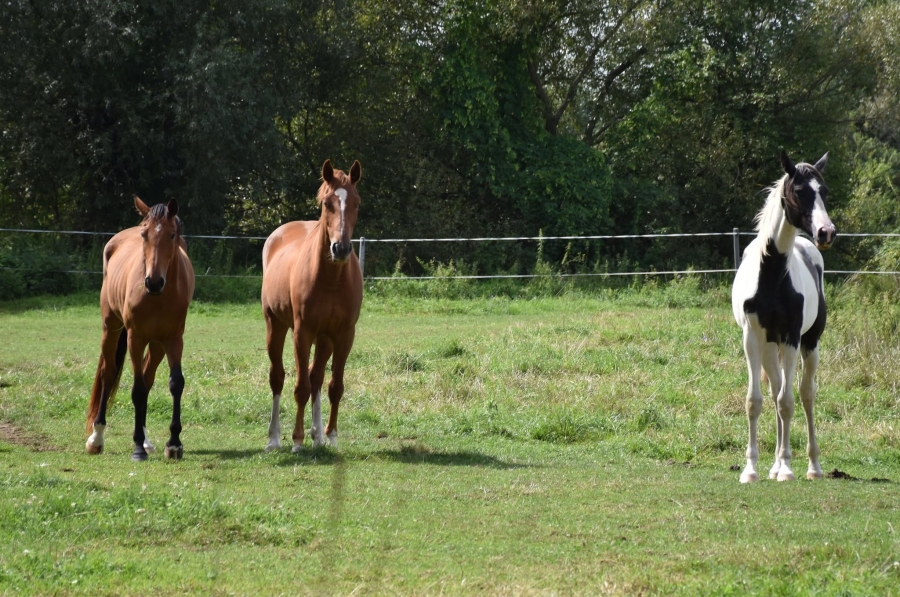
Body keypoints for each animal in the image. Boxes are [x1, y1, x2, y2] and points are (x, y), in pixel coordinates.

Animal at [85, 196, 195, 461]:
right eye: (144, 235)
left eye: (172, 235)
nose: (153, 282)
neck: (158, 297)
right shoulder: (135, 338)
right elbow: (136, 389)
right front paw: (136, 448)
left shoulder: (173, 340)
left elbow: (175, 383)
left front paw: (174, 444)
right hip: (111, 329)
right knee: (108, 373)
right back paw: (97, 438)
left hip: (156, 345)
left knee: (147, 378)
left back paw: (145, 440)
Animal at [261, 160, 363, 452]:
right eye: (327, 203)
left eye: (356, 203)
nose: (340, 248)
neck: (331, 280)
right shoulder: (302, 332)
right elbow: (301, 388)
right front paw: (296, 439)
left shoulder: (344, 334)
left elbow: (334, 386)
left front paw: (331, 435)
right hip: (275, 325)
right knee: (278, 377)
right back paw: (274, 438)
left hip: (325, 338)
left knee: (316, 376)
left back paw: (317, 435)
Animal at [731, 151, 836, 483]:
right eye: (800, 191)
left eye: (824, 191)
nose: (826, 232)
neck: (773, 275)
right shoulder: (752, 338)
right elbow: (756, 401)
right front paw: (751, 469)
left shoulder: (791, 337)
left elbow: (787, 403)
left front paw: (788, 468)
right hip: (769, 347)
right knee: (776, 388)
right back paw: (774, 465)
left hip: (809, 344)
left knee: (805, 394)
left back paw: (811, 466)